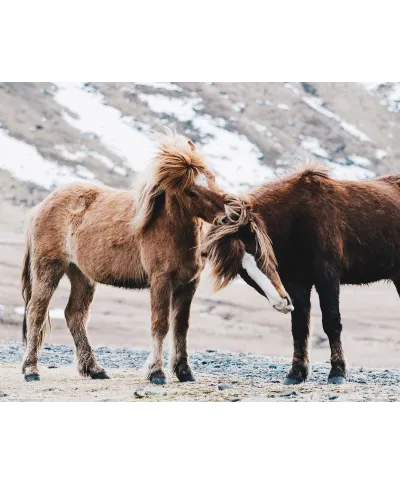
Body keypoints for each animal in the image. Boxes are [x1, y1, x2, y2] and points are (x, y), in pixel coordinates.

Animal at [21, 130, 290, 384]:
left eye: (212, 177)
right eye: (191, 192)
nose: (231, 215)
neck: (168, 228)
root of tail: (42, 205)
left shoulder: (188, 284)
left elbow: (181, 326)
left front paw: (184, 372)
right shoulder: (161, 280)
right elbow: (160, 324)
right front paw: (156, 373)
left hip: (81, 275)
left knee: (75, 315)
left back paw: (95, 369)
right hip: (49, 268)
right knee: (37, 311)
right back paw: (31, 371)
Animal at [203, 164, 400, 384]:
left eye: (256, 249)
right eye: (240, 270)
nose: (281, 303)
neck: (296, 219)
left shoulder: (327, 278)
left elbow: (331, 322)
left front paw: (337, 372)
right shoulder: (296, 283)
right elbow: (299, 327)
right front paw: (296, 373)